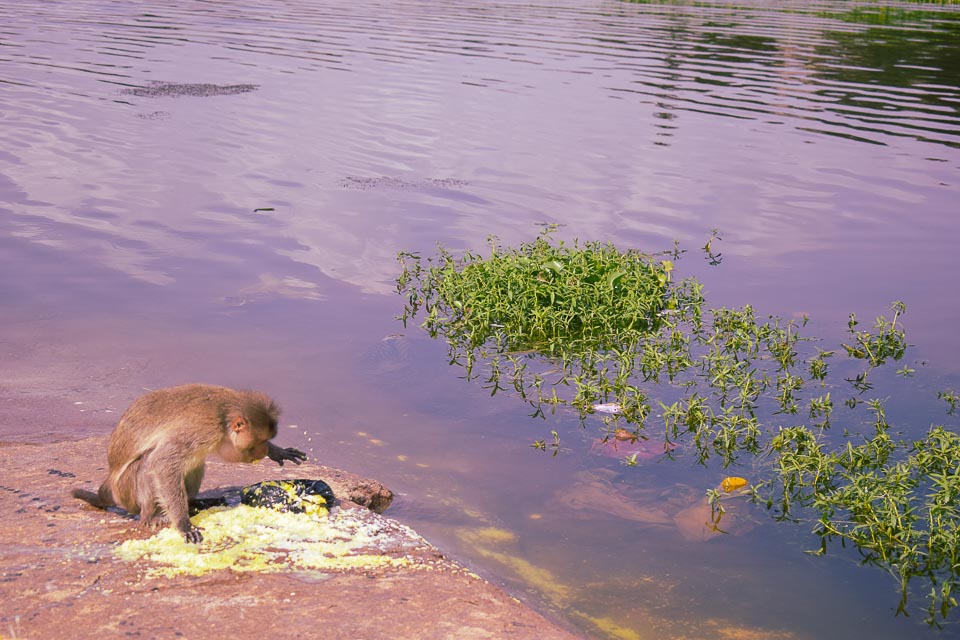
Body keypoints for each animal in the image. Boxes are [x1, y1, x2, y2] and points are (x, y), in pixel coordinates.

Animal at [73, 382, 306, 544]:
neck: (223, 417)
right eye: (259, 441)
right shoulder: (202, 429)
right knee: (149, 463)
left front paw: (278, 451)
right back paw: (151, 515)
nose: (264, 450)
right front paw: (183, 524)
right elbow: (162, 462)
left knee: (195, 463)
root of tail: (110, 485)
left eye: (267, 440)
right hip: (126, 491)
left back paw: (195, 503)